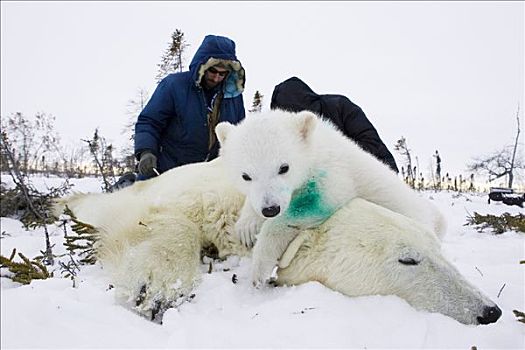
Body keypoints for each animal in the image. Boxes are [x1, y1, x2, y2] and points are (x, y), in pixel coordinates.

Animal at [215, 110, 444, 288]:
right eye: (246, 176)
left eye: (284, 167)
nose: (270, 209)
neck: (316, 145)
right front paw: (246, 226)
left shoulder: (333, 171)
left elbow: (315, 203)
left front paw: (259, 268)